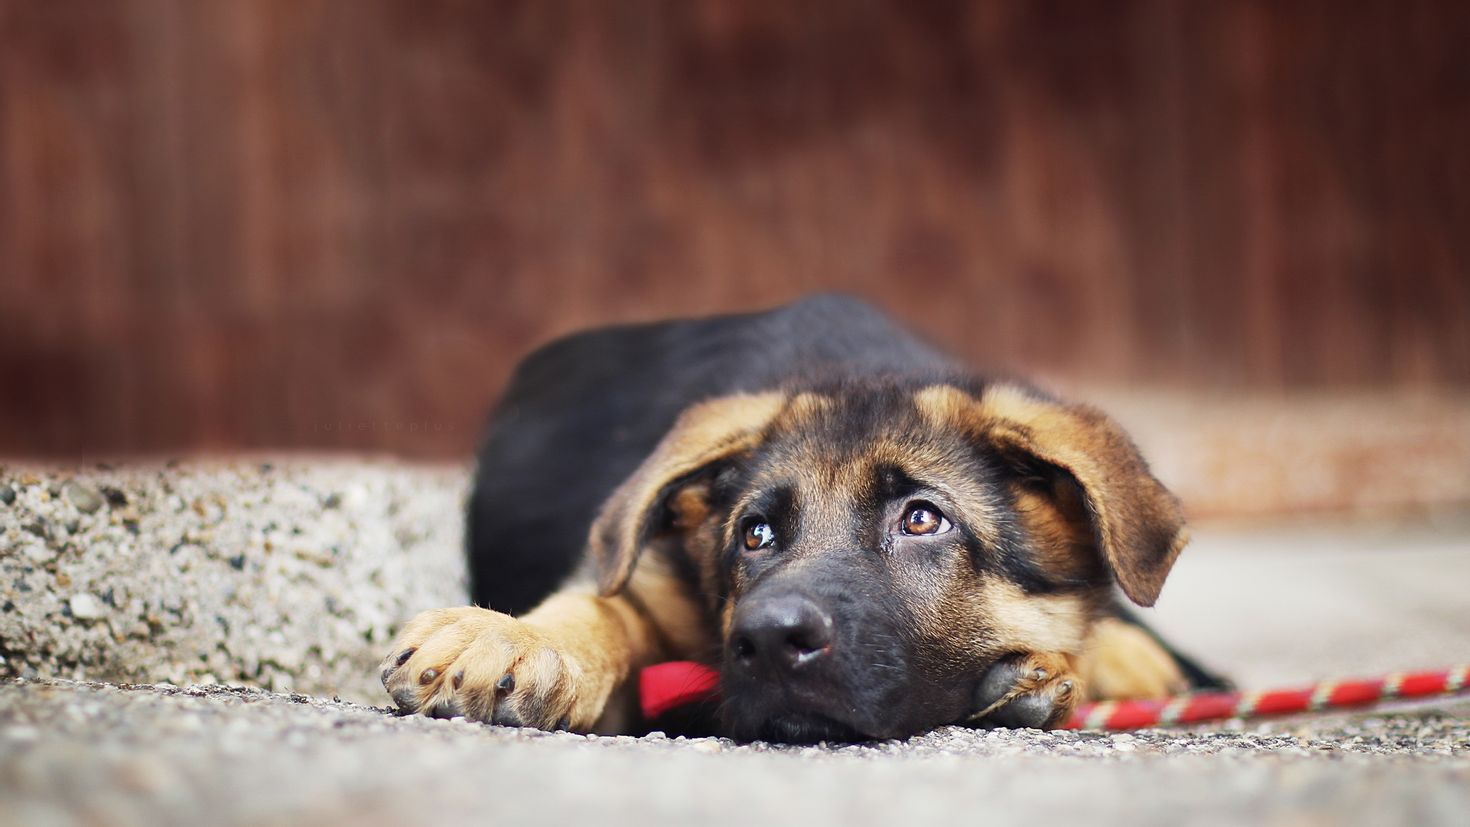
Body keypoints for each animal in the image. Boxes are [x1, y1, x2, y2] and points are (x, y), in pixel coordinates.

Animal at [382, 298, 1228, 743]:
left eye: (923, 519)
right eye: (753, 534)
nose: (764, 639)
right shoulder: (650, 578)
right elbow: (599, 603)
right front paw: (514, 635)